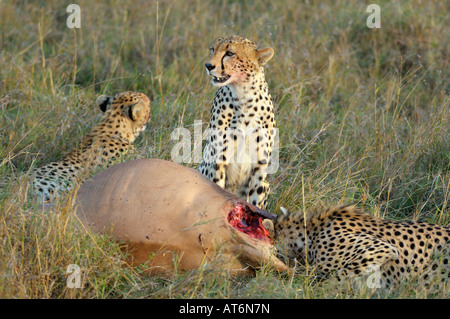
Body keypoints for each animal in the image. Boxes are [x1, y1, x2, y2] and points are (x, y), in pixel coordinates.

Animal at [199, 35, 276, 210]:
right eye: (212, 49)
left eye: (230, 53)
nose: (208, 65)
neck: (243, 97)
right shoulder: (218, 161)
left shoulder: (260, 168)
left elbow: (256, 202)